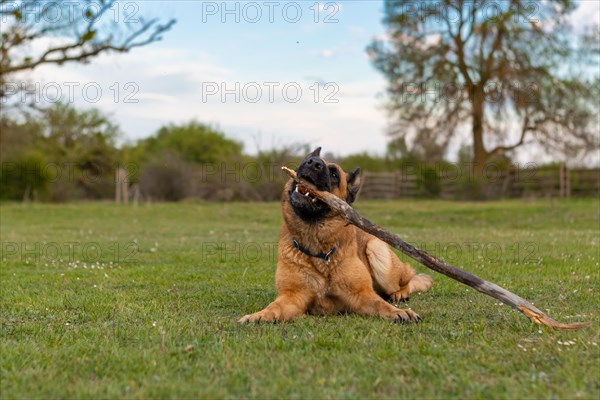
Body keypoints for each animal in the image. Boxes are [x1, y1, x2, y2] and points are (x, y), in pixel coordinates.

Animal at [239, 148, 432, 324]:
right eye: (307, 160)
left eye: (334, 174)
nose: (313, 163)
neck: (317, 246)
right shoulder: (292, 297)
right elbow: (274, 307)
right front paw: (258, 315)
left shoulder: (361, 294)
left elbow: (381, 304)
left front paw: (400, 312)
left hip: (377, 250)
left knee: (409, 278)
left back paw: (400, 293)